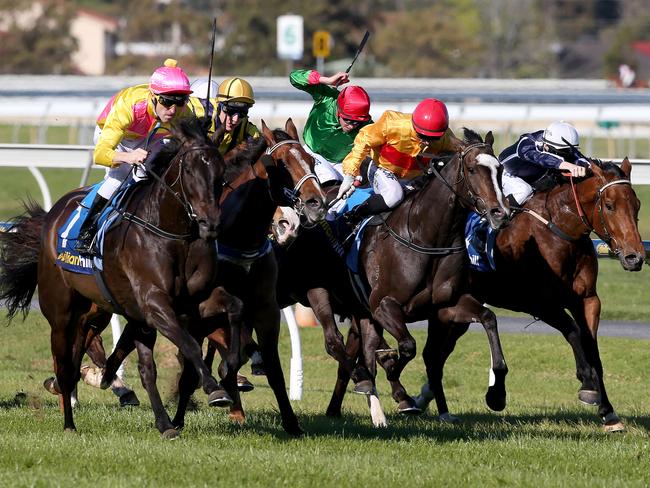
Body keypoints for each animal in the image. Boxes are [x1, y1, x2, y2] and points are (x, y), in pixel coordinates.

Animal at [0, 116, 243, 436]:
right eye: (189, 170)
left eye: (220, 171)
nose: (210, 223)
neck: (171, 233)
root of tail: (53, 216)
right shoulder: (154, 303)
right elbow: (188, 342)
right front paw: (215, 388)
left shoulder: (192, 301)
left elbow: (234, 307)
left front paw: (231, 369)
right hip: (61, 311)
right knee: (65, 364)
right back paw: (69, 422)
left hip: (98, 310)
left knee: (112, 357)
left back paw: (156, 417)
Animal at [416, 157, 644, 430]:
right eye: (609, 205)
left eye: (637, 205)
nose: (635, 257)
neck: (557, 232)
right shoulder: (539, 304)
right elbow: (574, 332)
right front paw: (587, 384)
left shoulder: (588, 300)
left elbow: (593, 351)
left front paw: (608, 412)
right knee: (432, 354)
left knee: (437, 354)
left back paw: (423, 401)